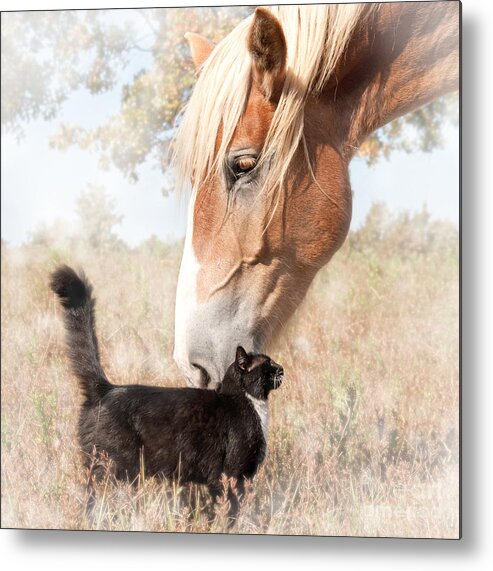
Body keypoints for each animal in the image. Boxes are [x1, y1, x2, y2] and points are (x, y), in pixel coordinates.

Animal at [50, 266, 282, 520]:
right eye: (268, 365)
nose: (282, 369)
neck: (248, 403)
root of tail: (106, 388)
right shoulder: (231, 473)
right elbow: (231, 506)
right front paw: (229, 522)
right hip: (116, 466)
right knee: (98, 496)